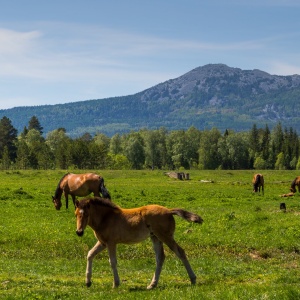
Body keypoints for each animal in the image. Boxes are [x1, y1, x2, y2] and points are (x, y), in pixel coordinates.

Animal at [74, 197, 204, 288]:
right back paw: (152, 285)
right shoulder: (102, 243)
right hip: (155, 238)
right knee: (160, 258)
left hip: (165, 237)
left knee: (180, 252)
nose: (79, 232)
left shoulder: (111, 243)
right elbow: (90, 254)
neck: (106, 218)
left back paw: (193, 279)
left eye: (86, 214)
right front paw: (88, 282)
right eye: (76, 214)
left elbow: (112, 262)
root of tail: (169, 211)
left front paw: (116, 284)